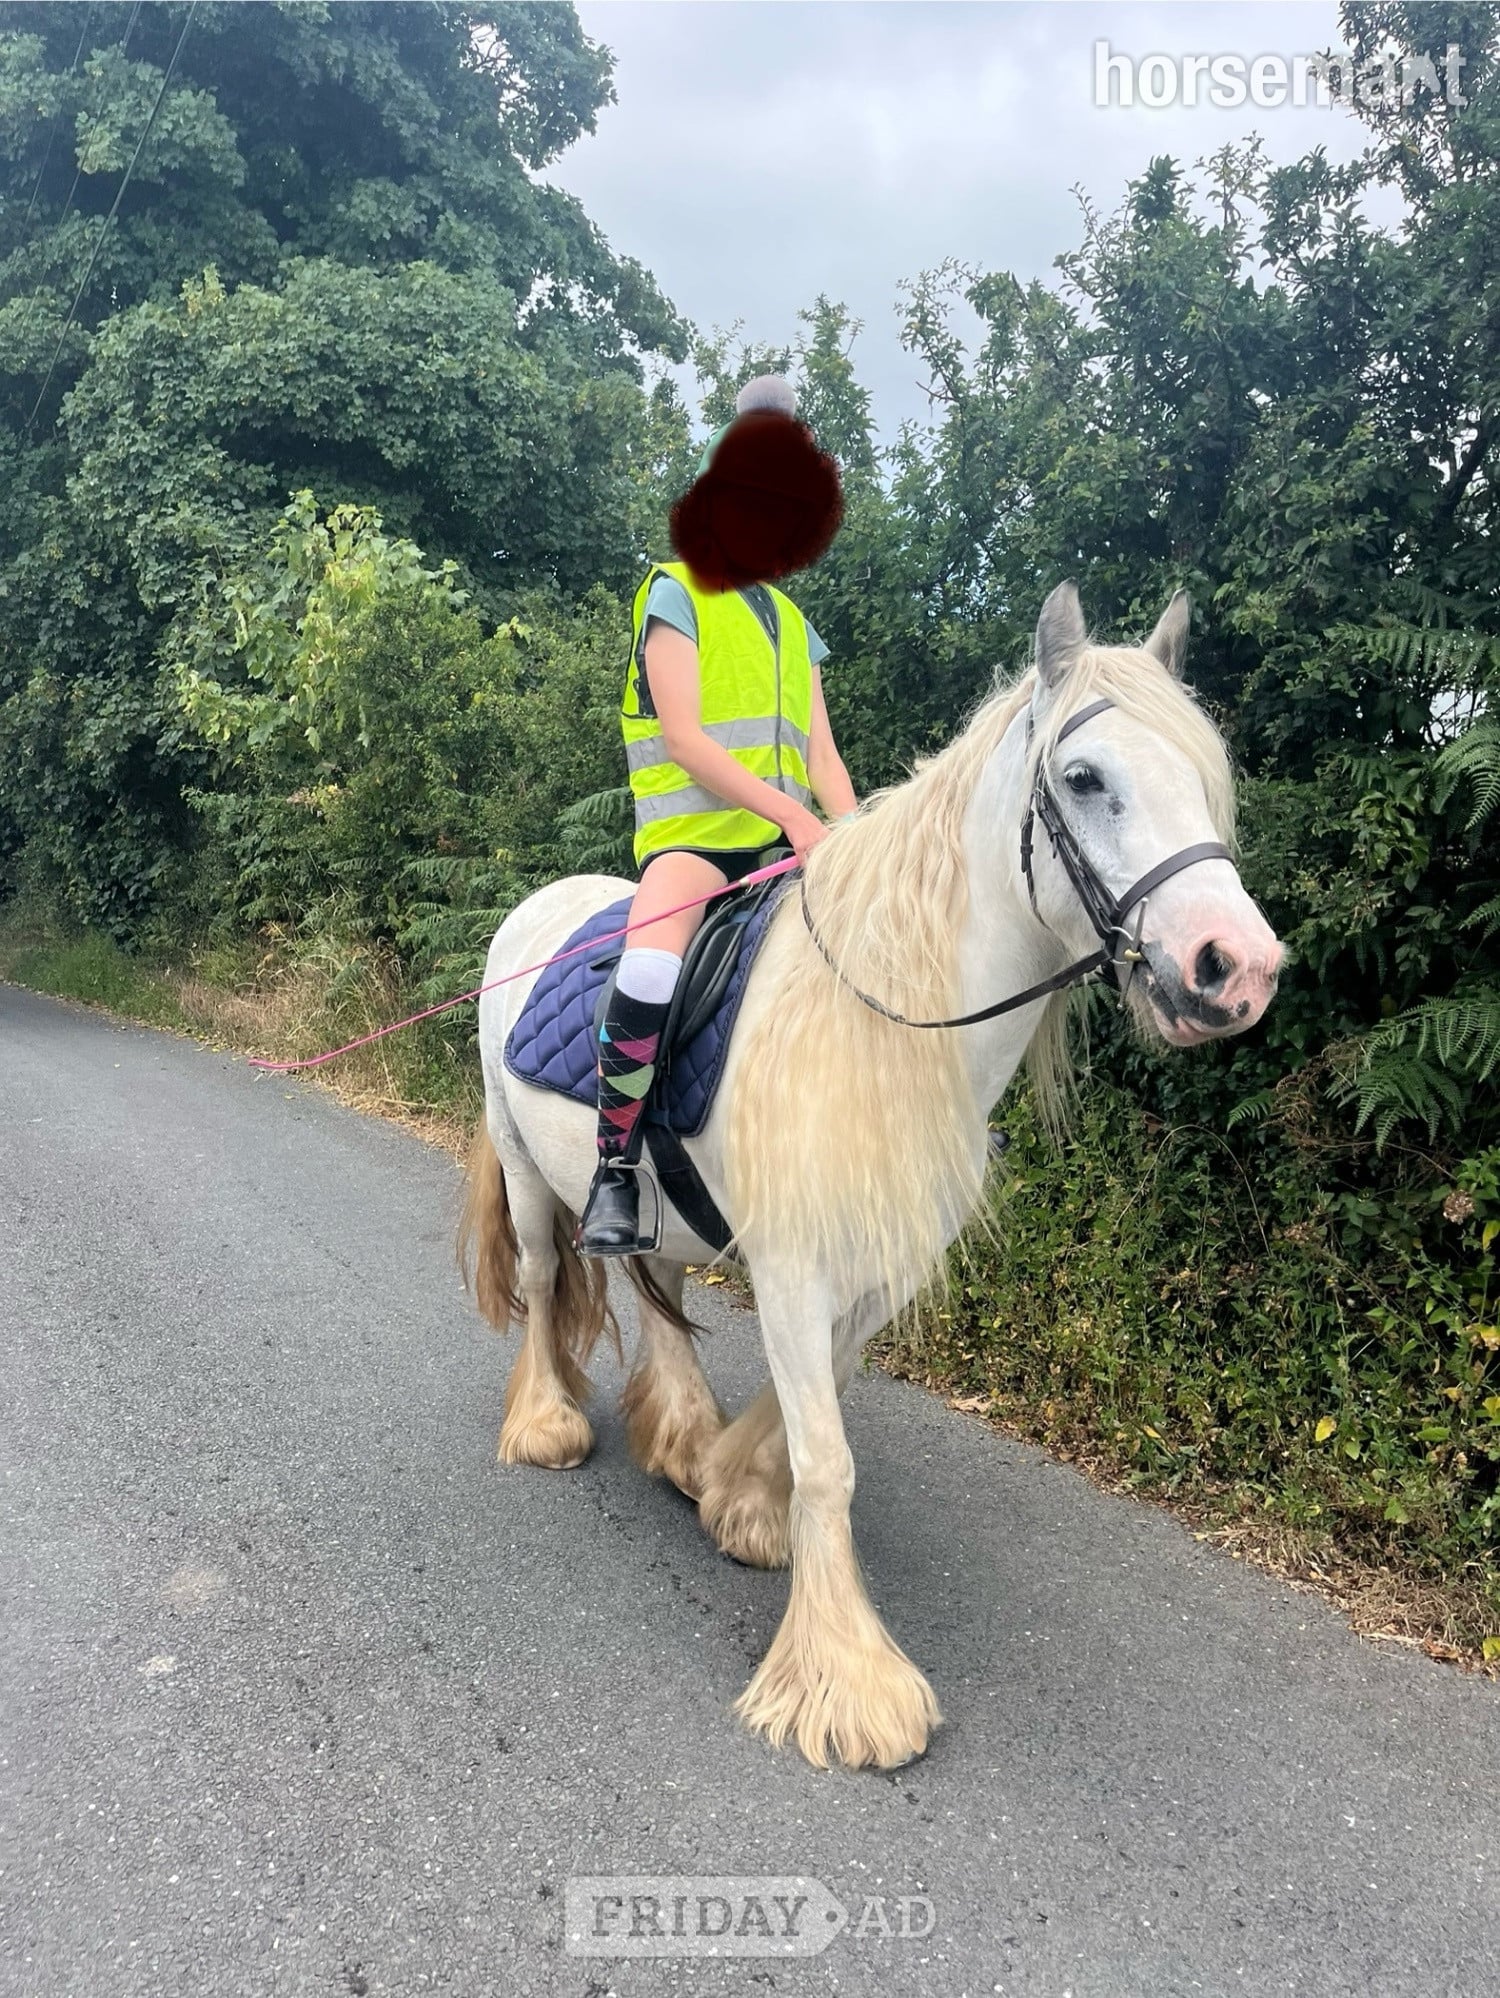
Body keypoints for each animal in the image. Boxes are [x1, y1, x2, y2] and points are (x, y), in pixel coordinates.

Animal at [459, 581, 1282, 1770]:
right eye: (1087, 779)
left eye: (1204, 775)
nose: (1239, 970)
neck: (883, 1014)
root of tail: (539, 907)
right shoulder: (794, 1268)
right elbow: (829, 1459)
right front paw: (849, 1683)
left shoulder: (874, 1272)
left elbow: (812, 1426)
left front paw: (736, 1499)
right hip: (525, 1171)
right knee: (537, 1279)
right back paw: (546, 1427)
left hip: (649, 1207)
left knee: (651, 1289)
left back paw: (679, 1439)